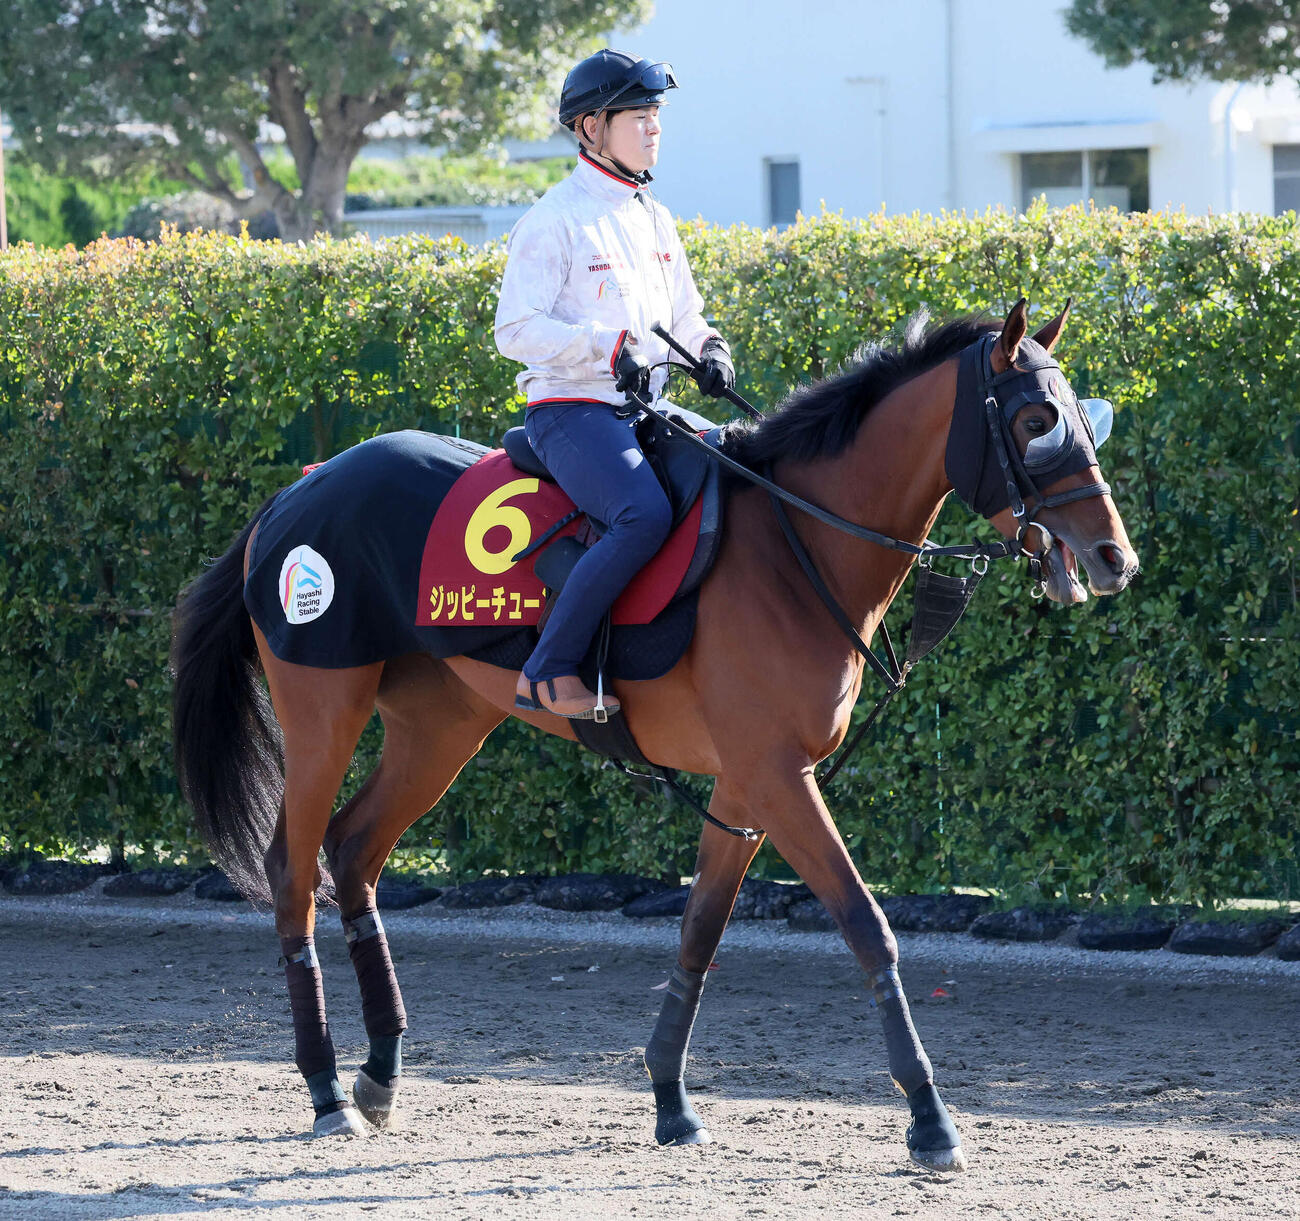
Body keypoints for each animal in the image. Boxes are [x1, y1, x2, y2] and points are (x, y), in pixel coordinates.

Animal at [171, 298, 1139, 1172]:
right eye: (1036, 419)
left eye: (1081, 412)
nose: (1114, 559)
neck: (795, 546)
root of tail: (298, 489)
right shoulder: (779, 777)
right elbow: (868, 925)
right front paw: (931, 1117)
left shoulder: (746, 786)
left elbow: (699, 933)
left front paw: (672, 1099)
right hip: (322, 713)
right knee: (295, 871)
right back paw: (327, 1087)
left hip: (438, 725)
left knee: (356, 849)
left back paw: (379, 1071)